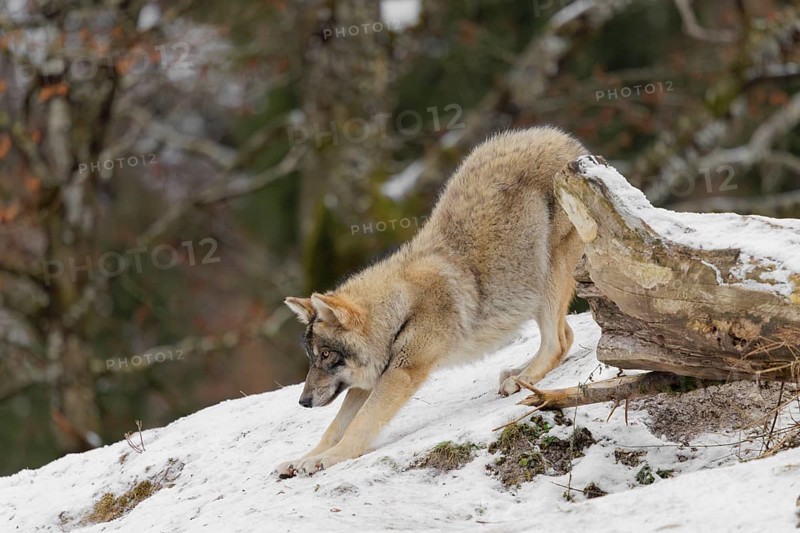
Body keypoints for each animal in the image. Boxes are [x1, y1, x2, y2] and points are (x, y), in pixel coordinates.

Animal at [277, 126, 586, 478]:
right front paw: (303, 459)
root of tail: (561, 138)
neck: (400, 310)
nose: (303, 402)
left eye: (327, 355)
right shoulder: (367, 382)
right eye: (311, 357)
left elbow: (358, 427)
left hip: (545, 278)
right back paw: (517, 373)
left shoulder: (401, 373)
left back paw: (521, 381)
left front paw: (328, 459)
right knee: (565, 336)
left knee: (559, 341)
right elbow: (334, 427)